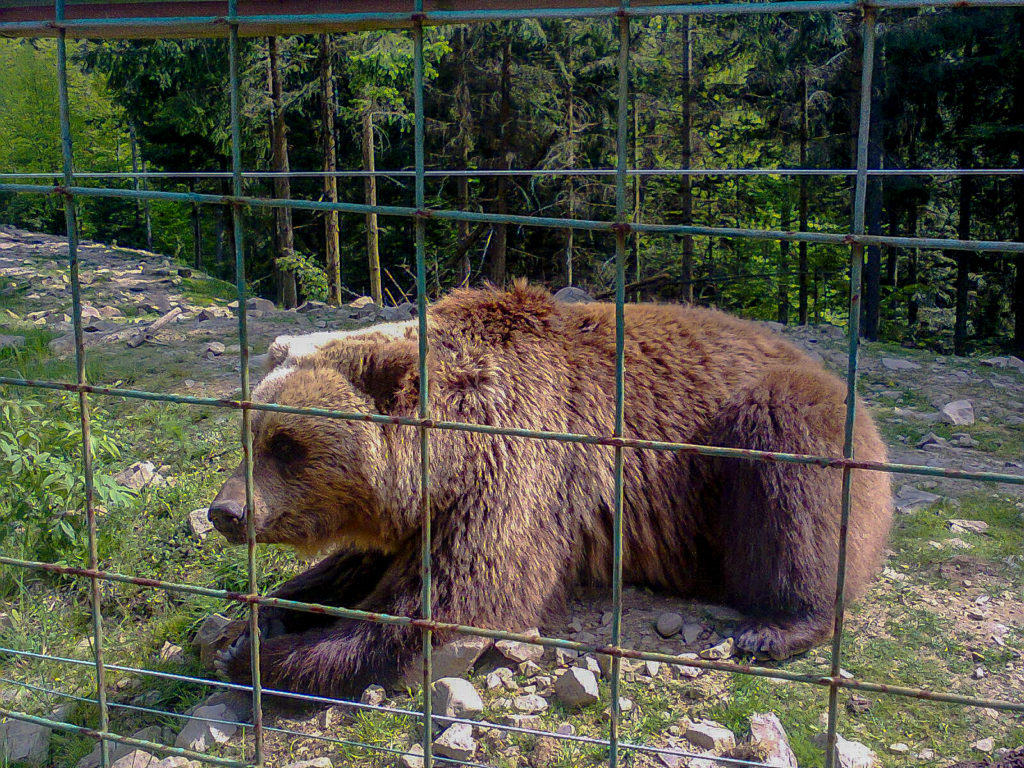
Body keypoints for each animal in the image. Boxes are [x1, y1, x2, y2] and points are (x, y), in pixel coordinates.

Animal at [205, 282, 888, 696]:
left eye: (287, 444)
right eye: (251, 432)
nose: (226, 511)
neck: (450, 451)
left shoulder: (518, 472)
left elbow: (441, 603)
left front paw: (260, 656)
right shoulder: (424, 512)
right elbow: (353, 569)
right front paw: (257, 616)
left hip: (770, 429)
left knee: (793, 482)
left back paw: (776, 626)